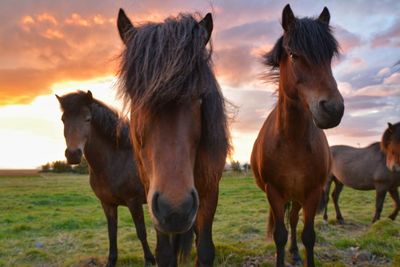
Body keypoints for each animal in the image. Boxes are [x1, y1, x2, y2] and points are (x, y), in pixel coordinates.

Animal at [55, 91, 155, 266]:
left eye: (88, 119)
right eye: (63, 119)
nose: (73, 154)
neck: (117, 159)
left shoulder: (134, 202)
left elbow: (141, 232)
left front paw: (150, 259)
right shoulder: (107, 203)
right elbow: (112, 233)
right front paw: (111, 260)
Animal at [115, 9, 230, 266]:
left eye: (199, 96)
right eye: (137, 97)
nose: (176, 209)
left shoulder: (210, 192)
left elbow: (205, 249)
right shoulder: (152, 195)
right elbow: (165, 254)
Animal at [253, 4, 344, 267]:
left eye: (329, 56)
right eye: (294, 55)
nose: (333, 109)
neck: (292, 142)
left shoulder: (312, 193)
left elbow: (308, 235)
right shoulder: (274, 193)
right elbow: (279, 235)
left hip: (298, 197)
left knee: (294, 219)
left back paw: (294, 252)